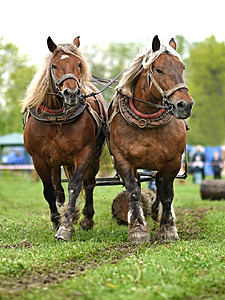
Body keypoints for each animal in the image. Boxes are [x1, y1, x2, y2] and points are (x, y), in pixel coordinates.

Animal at [22, 36, 107, 241]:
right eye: (54, 66)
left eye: (79, 64)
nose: (72, 93)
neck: (56, 117)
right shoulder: (39, 159)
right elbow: (49, 191)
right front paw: (56, 220)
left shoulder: (84, 154)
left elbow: (75, 186)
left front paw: (66, 226)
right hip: (55, 161)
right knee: (57, 187)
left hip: (94, 155)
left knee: (89, 183)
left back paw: (86, 219)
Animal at [108, 35, 194, 243]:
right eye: (159, 69)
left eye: (182, 67)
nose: (185, 105)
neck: (146, 118)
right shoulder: (123, 160)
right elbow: (133, 192)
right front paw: (137, 228)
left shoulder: (172, 161)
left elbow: (167, 194)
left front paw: (168, 228)